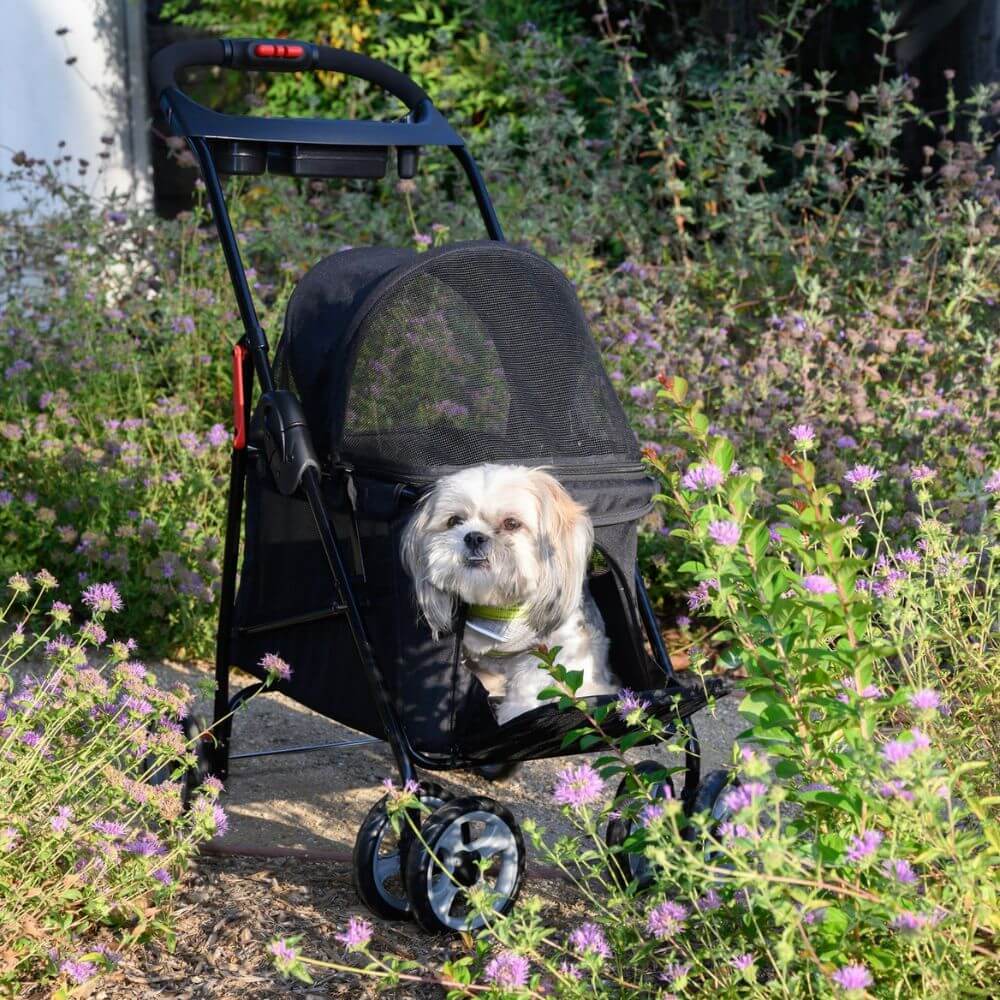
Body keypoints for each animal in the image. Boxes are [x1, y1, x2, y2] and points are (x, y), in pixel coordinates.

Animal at [400, 464, 616, 724]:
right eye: (454, 521)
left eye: (512, 523)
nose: (474, 536)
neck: (499, 607)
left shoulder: (557, 644)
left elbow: (532, 680)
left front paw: (516, 712)